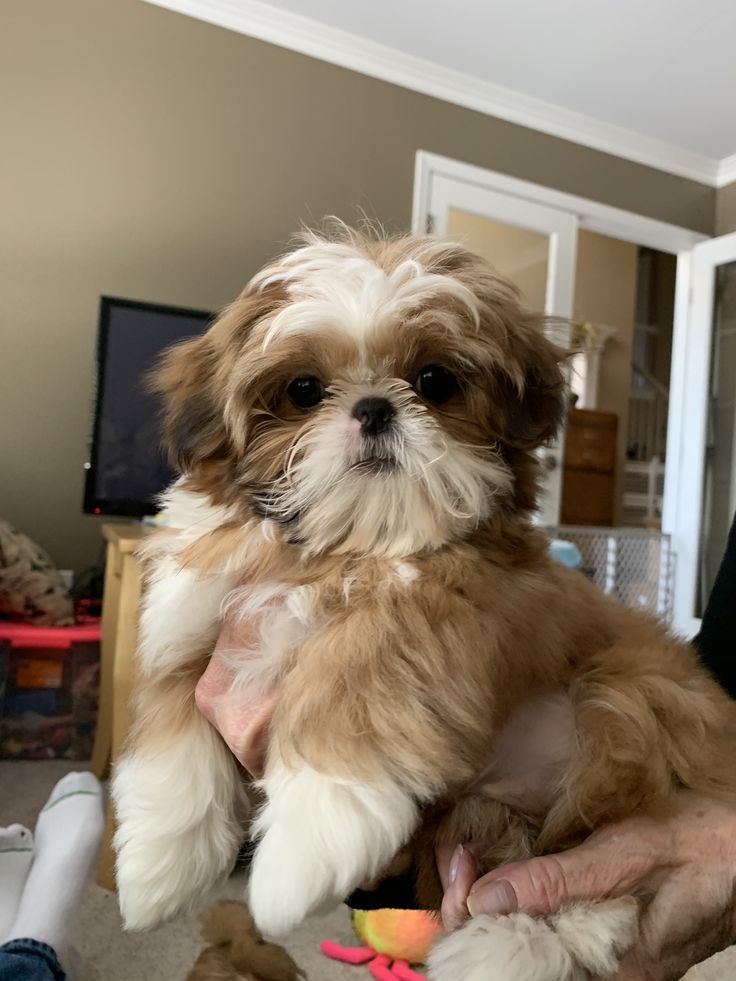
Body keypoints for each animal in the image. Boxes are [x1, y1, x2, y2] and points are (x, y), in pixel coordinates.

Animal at [112, 224, 736, 980]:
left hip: (633, 702)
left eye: (435, 382)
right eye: (302, 390)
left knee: (605, 861)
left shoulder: (458, 598)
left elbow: (358, 668)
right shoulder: (196, 620)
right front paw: (155, 870)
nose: (374, 408)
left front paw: (304, 844)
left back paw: (540, 930)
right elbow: (172, 733)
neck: (347, 547)